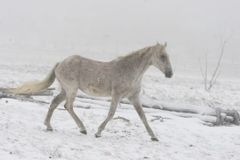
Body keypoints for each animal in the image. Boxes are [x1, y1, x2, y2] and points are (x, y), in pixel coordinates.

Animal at [7, 42, 172, 141]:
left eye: (167, 56)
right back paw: (82, 129)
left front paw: (153, 137)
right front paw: (98, 132)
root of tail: (60, 63)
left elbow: (143, 117)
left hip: (65, 90)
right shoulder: (116, 95)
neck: (130, 71)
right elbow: (111, 114)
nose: (170, 74)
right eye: (162, 56)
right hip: (71, 90)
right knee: (68, 106)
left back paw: (49, 126)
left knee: (54, 104)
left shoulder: (134, 98)